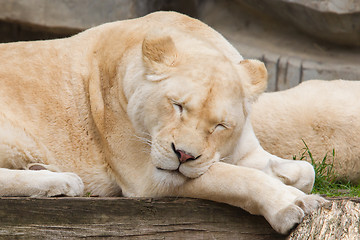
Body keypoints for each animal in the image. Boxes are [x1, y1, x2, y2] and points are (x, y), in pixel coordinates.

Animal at [0, 11, 326, 234]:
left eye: (220, 126)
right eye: (177, 105)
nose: (183, 155)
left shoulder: (244, 151)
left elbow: (305, 170)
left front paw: (295, 186)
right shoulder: (147, 176)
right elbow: (235, 177)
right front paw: (292, 204)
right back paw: (63, 181)